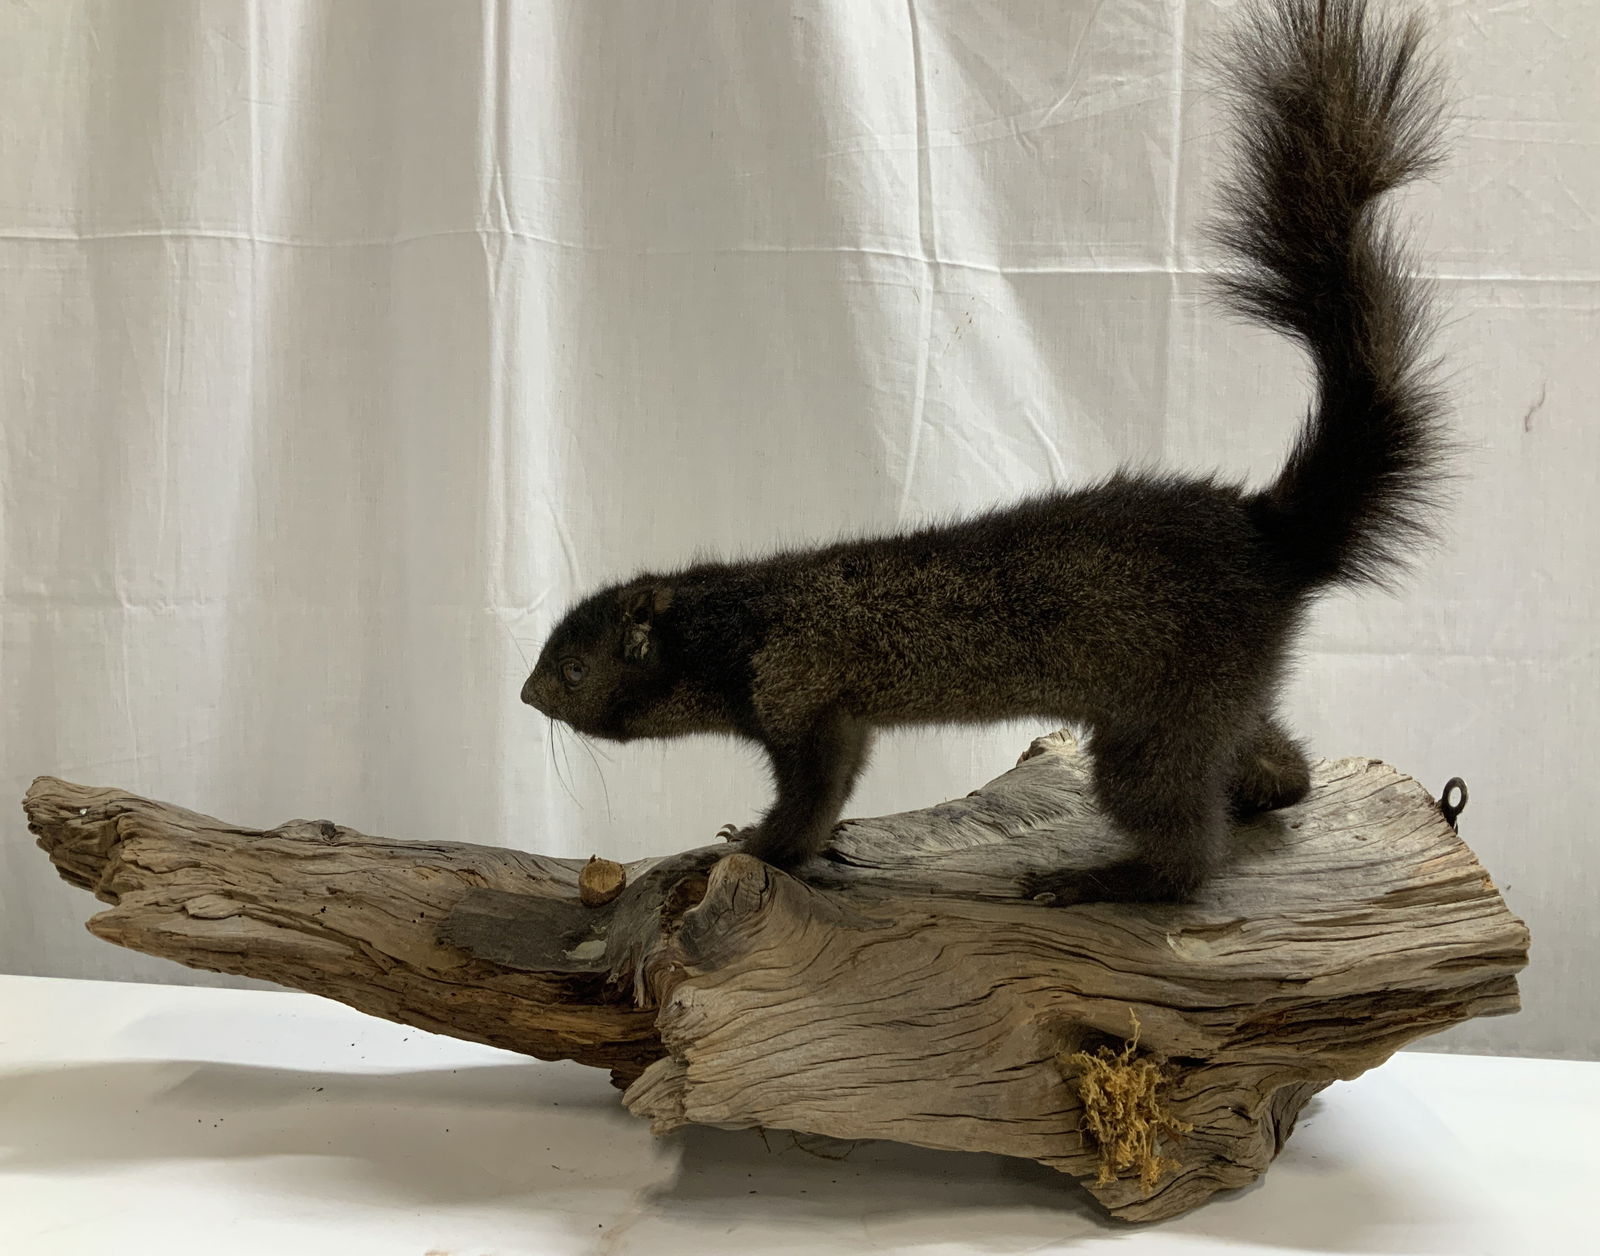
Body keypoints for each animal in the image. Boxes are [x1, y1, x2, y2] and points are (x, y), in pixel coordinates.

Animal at [521, 0, 1450, 904]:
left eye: (572, 667)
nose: (525, 695)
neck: (741, 619)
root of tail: (1275, 535)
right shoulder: (838, 712)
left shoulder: (802, 696)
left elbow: (811, 799)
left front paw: (748, 846)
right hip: (1216, 696)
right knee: (1280, 762)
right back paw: (1264, 788)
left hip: (1161, 719)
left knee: (1187, 859)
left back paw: (1104, 880)